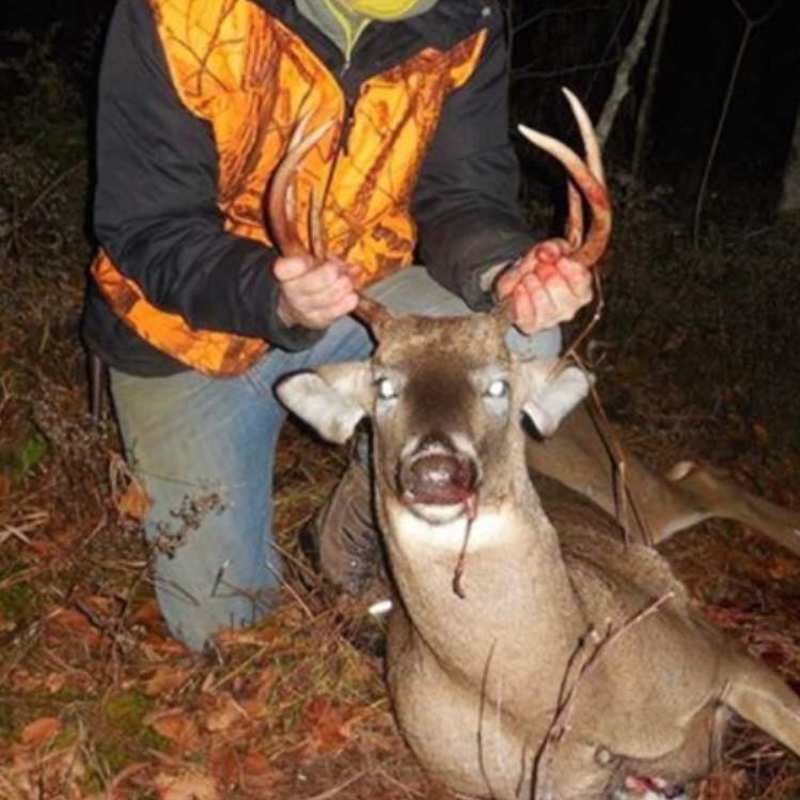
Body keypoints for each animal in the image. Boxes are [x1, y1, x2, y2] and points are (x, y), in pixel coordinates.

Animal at [271, 94, 800, 798]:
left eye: (498, 384)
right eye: (383, 386)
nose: (437, 473)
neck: (568, 703)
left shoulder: (723, 653)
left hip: (619, 483)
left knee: (707, 478)